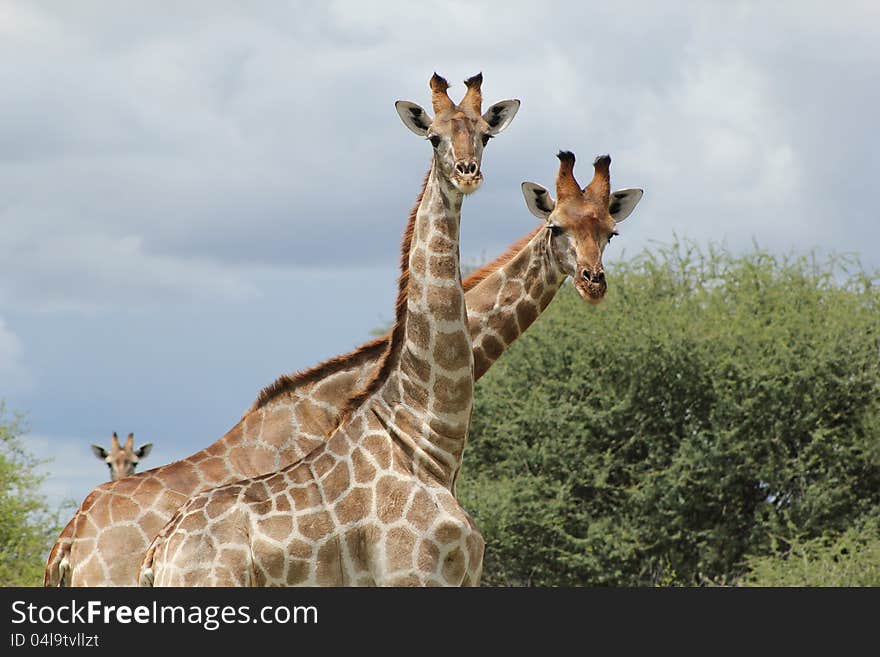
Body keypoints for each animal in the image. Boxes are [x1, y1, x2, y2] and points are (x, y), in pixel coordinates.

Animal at [141, 73, 520, 588]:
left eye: (485, 135)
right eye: (433, 137)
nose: (467, 173)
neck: (427, 445)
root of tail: (159, 553)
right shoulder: (412, 574)